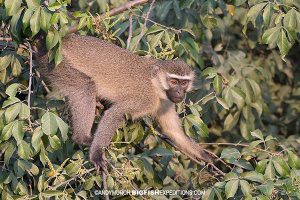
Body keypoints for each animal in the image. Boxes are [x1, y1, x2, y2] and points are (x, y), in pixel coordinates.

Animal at [34, 34, 212, 167]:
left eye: (184, 83)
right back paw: (82, 138)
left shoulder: (166, 102)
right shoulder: (146, 98)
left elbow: (173, 132)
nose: (179, 92)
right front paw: (96, 153)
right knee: (85, 86)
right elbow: (115, 113)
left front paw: (208, 157)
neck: (156, 85)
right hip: (56, 63)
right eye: (174, 82)